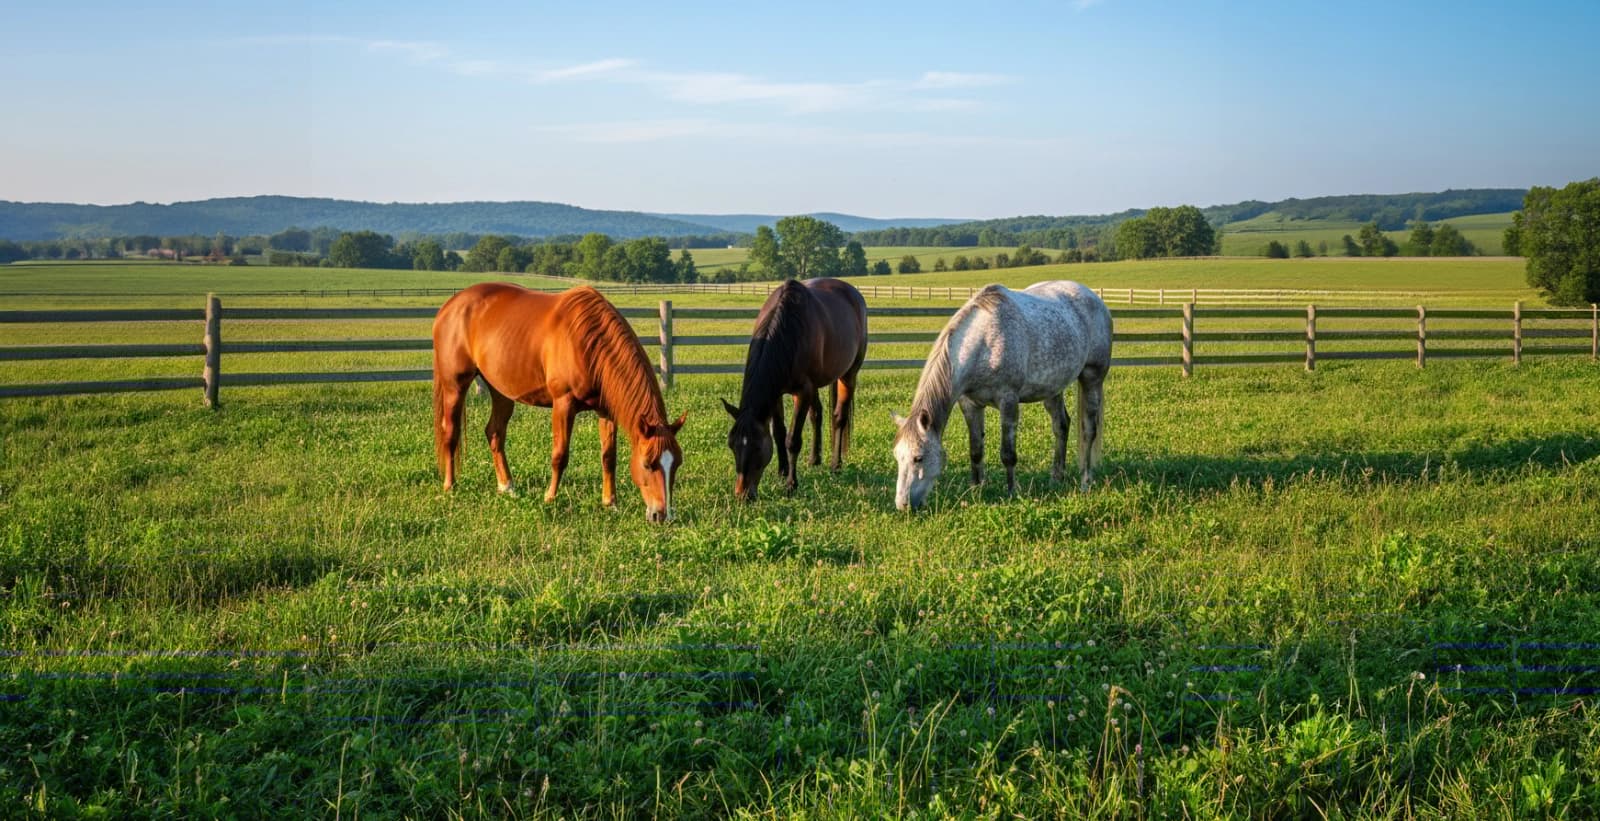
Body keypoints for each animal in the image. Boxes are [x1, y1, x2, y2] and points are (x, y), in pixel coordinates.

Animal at [432, 283, 687, 523]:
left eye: (676, 464)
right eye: (647, 464)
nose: (662, 515)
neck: (587, 341)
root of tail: (450, 305)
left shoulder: (605, 411)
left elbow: (608, 457)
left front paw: (610, 503)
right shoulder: (563, 404)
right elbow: (560, 455)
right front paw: (550, 498)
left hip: (500, 390)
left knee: (495, 433)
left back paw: (507, 487)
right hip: (455, 386)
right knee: (451, 433)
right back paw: (450, 486)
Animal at [720, 278, 868, 501]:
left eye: (757, 446)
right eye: (731, 444)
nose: (742, 495)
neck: (788, 331)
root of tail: (853, 293)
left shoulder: (802, 391)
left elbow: (792, 439)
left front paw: (791, 484)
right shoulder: (776, 393)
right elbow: (778, 432)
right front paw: (782, 471)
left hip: (849, 374)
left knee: (839, 418)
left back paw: (836, 465)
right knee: (817, 415)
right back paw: (814, 459)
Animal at [891, 281, 1111, 511]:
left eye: (918, 458)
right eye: (897, 456)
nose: (902, 504)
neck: (983, 343)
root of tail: (1095, 299)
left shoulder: (1008, 401)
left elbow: (1008, 454)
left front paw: (1012, 492)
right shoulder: (970, 404)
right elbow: (976, 450)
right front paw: (976, 489)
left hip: (1092, 378)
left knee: (1089, 430)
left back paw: (1086, 480)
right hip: (1053, 388)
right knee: (1061, 426)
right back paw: (1056, 478)